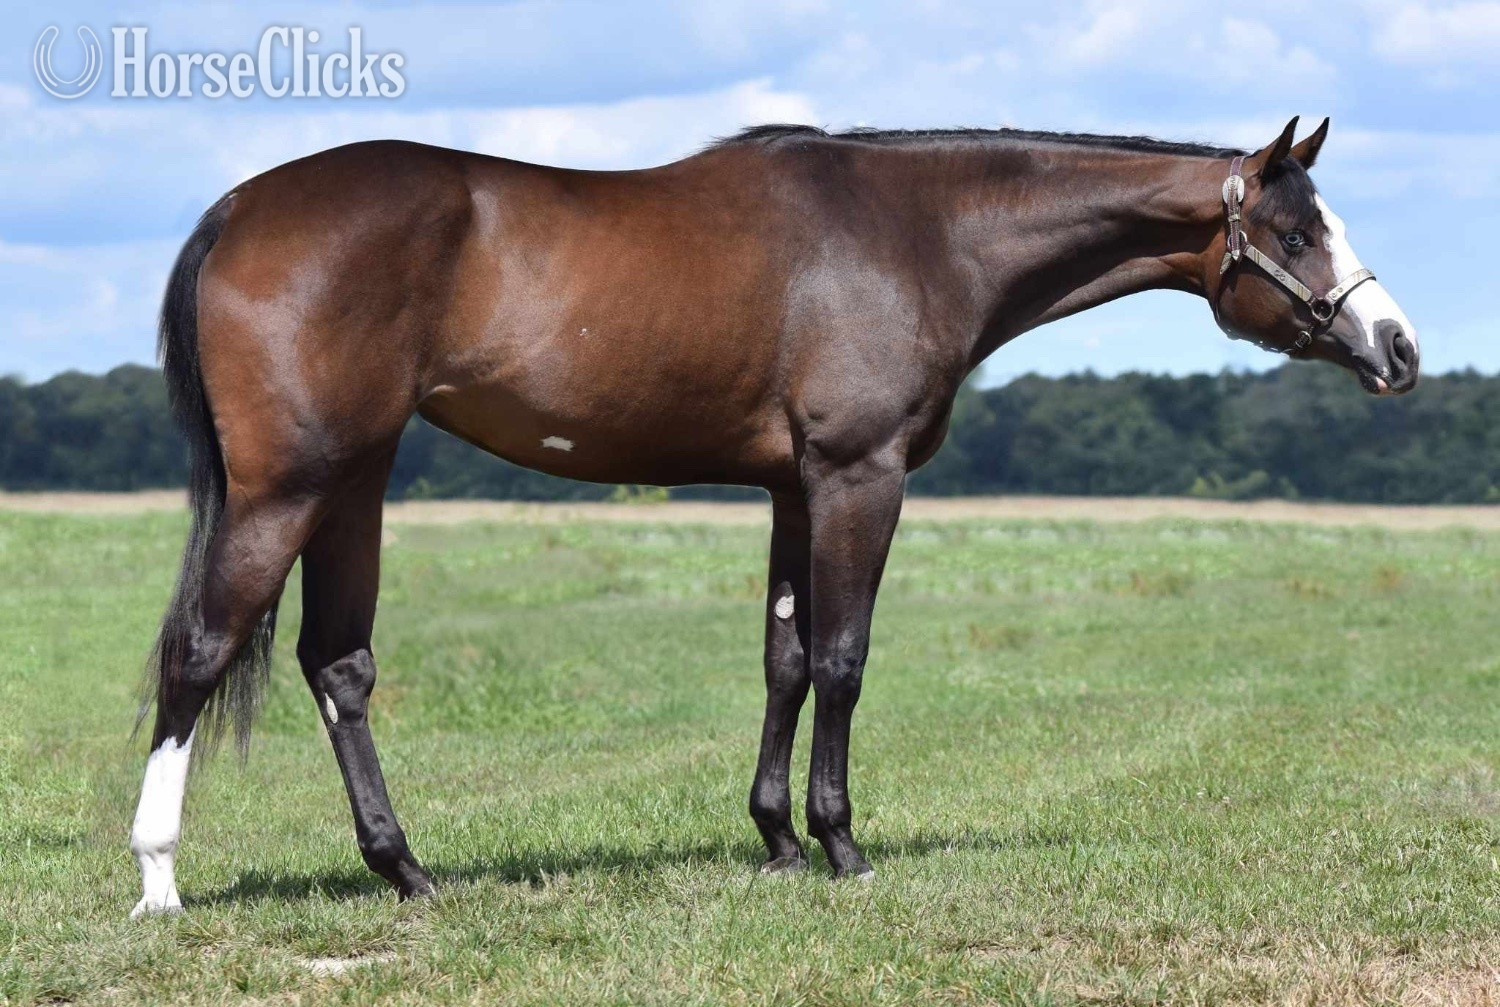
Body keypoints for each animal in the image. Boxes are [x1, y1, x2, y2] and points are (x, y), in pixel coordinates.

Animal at [128, 116, 1418, 916]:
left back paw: (406, 870)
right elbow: (843, 656)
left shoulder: (795, 487)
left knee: (336, 663)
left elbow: (786, 658)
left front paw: (778, 837)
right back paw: (159, 879)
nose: (1398, 348)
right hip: (290, 486)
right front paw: (843, 843)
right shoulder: (858, 474)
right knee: (199, 650)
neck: (919, 232)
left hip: (355, 478)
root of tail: (239, 206)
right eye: (1298, 233)